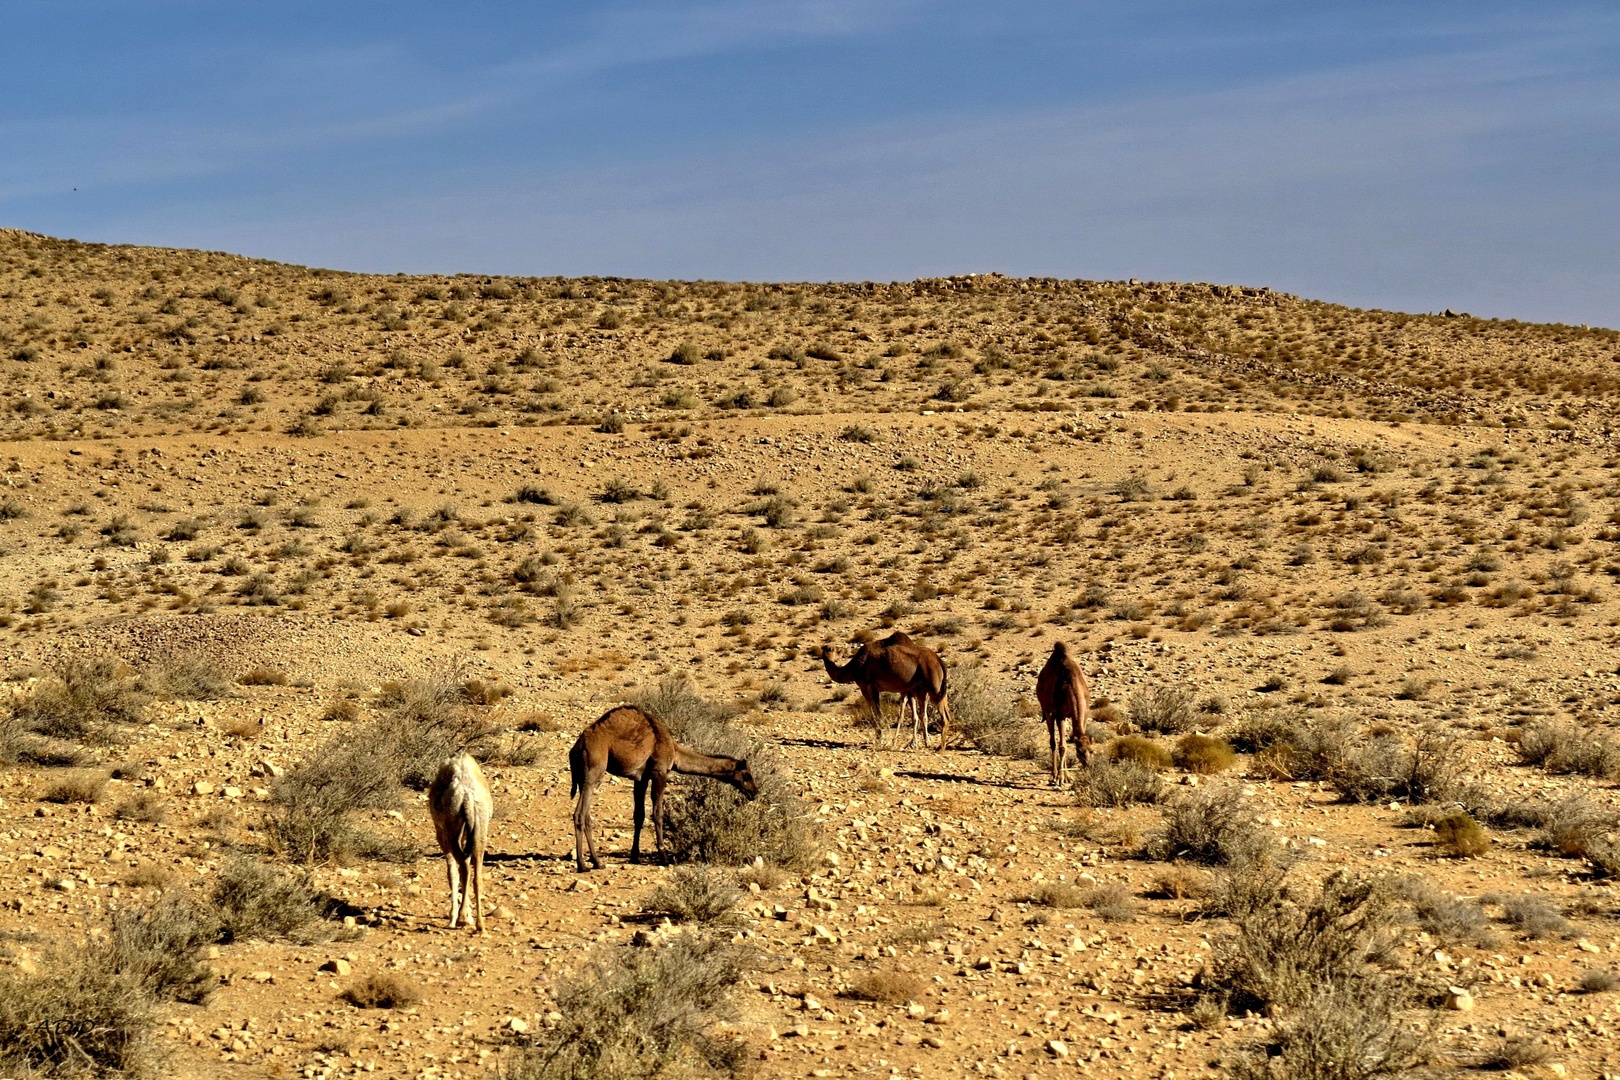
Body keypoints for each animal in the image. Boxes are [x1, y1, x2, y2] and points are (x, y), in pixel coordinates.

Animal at [427, 757, 489, 932]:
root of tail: (467, 798)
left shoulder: (441, 834)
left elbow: (452, 874)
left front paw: (453, 917)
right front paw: (468, 916)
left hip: (451, 833)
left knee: (463, 868)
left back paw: (461, 918)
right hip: (480, 831)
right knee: (476, 875)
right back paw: (480, 925)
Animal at [570, 705, 758, 874]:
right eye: (747, 775)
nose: (754, 793)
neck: (674, 751)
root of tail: (577, 747)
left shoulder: (641, 778)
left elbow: (639, 815)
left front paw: (635, 856)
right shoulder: (659, 772)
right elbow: (657, 813)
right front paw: (664, 857)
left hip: (584, 778)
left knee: (586, 816)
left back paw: (597, 862)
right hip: (593, 772)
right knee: (579, 814)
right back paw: (583, 865)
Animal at [1036, 641, 1088, 786]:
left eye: (1092, 750)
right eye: (1079, 751)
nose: (1088, 765)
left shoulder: (1084, 716)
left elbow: (1066, 744)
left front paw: (1067, 777)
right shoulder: (1061, 714)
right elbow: (1062, 746)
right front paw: (1060, 778)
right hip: (1047, 709)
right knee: (1053, 741)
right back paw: (1053, 774)